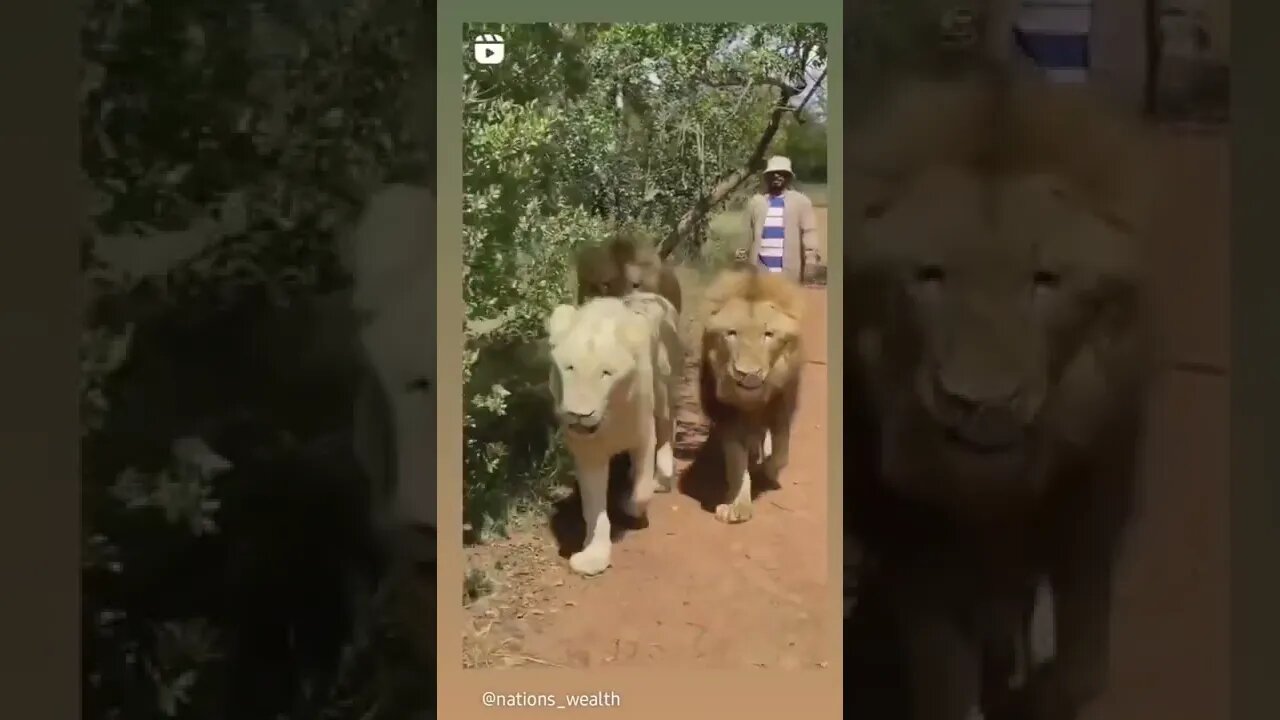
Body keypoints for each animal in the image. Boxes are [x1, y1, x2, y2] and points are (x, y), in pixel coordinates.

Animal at [547, 288, 686, 573]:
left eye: (606, 373)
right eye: (570, 368)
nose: (579, 414)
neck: (609, 420)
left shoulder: (643, 436)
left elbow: (641, 492)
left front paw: (629, 503)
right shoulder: (589, 453)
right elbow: (594, 508)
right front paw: (593, 556)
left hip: (664, 388)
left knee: (668, 428)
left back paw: (663, 476)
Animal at [696, 263, 803, 520]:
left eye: (768, 334)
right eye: (731, 333)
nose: (748, 373)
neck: (752, 402)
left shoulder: (783, 408)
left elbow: (782, 451)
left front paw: (770, 471)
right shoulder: (728, 418)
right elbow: (737, 463)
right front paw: (737, 507)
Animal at [844, 60, 1157, 717]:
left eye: (1045, 281)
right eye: (929, 276)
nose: (980, 404)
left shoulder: (1090, 525)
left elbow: (1084, 671)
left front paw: (1037, 695)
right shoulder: (922, 557)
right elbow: (947, 687)